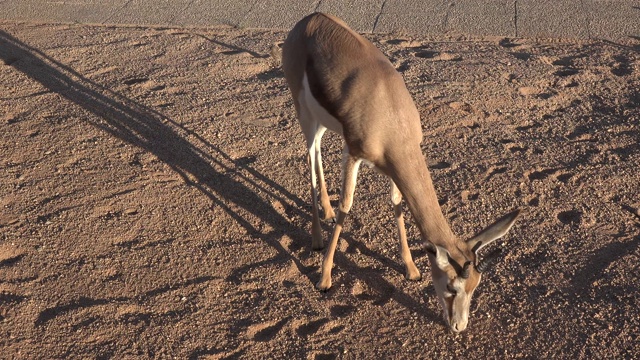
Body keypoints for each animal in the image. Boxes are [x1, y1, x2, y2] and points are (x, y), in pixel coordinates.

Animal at [282, 11, 524, 332]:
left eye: (475, 286)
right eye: (451, 287)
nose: (459, 326)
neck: (389, 114)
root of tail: (309, 20)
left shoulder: (393, 164)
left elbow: (396, 203)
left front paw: (410, 268)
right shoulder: (354, 154)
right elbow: (347, 204)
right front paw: (324, 278)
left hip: (322, 122)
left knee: (318, 154)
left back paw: (325, 214)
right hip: (305, 116)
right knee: (310, 159)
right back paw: (317, 240)